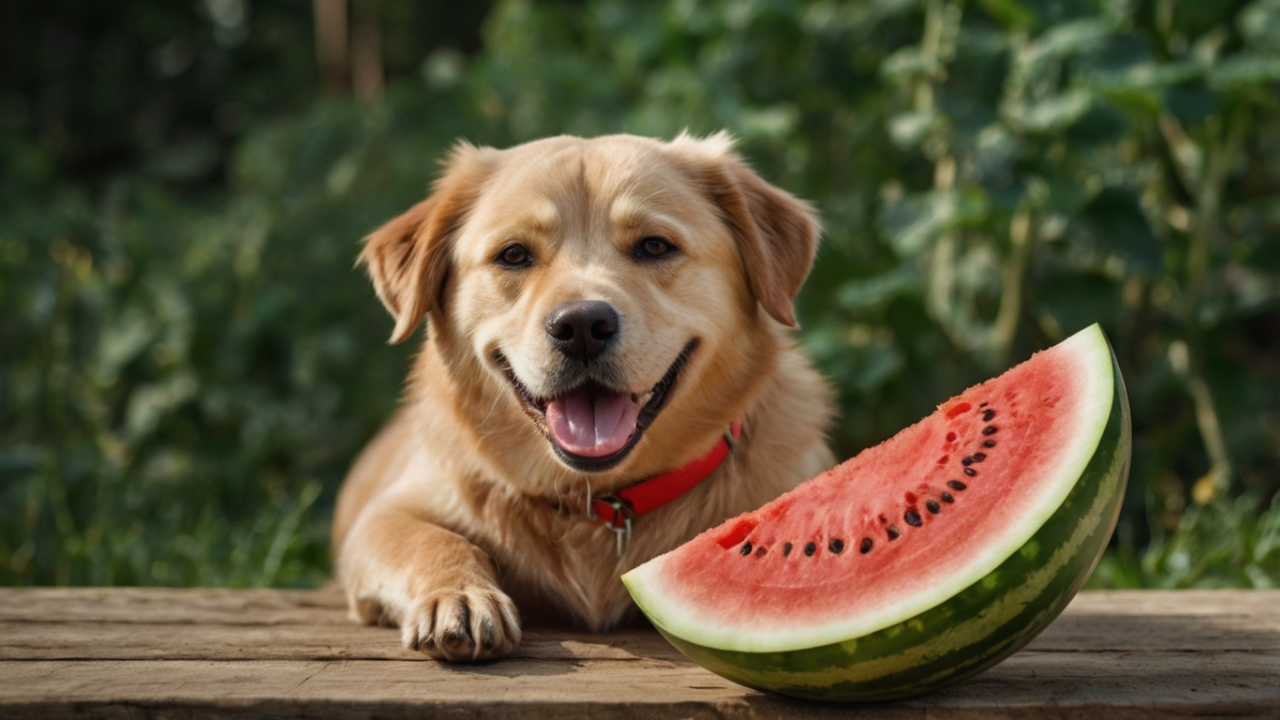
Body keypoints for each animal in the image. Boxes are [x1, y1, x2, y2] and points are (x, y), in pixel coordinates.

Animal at [330, 131, 834, 661]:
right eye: (513, 255)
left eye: (655, 245)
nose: (582, 326)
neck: (599, 506)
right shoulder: (383, 517)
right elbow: (430, 539)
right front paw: (460, 595)